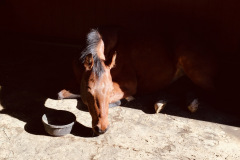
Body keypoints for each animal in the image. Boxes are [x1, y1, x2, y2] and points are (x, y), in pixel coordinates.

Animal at [58, 27, 218, 135]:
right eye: (89, 91)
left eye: (109, 90)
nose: (102, 129)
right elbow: (61, 94)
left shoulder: (128, 85)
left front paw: (123, 100)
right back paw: (162, 102)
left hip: (196, 72)